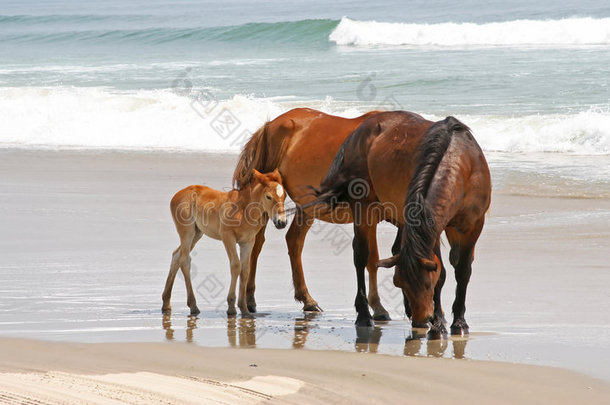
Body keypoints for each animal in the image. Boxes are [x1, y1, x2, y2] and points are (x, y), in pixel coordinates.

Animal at [162, 169, 284, 318]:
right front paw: (231, 307)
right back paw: (193, 306)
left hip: (197, 233)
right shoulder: (228, 237)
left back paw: (166, 304)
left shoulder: (248, 241)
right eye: (268, 196)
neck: (243, 209)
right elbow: (236, 266)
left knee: (176, 255)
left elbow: (245, 270)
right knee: (184, 260)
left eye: (284, 195)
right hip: (187, 232)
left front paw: (244, 309)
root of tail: (176, 195)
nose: (282, 222)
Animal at [230, 107, 396, 318]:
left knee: (293, 241)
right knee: (257, 244)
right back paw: (250, 298)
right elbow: (372, 259)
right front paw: (377, 306)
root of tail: (271, 125)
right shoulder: (368, 216)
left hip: (307, 207)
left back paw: (306, 299)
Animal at [308, 112, 490, 332]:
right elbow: (443, 272)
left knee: (396, 249)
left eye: (427, 284)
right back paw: (364, 315)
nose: (421, 321)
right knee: (360, 255)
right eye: (398, 283)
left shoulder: (473, 226)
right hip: (364, 206)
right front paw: (438, 323)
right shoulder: (434, 230)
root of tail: (359, 130)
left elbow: (462, 270)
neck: (462, 163)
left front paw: (459, 321)